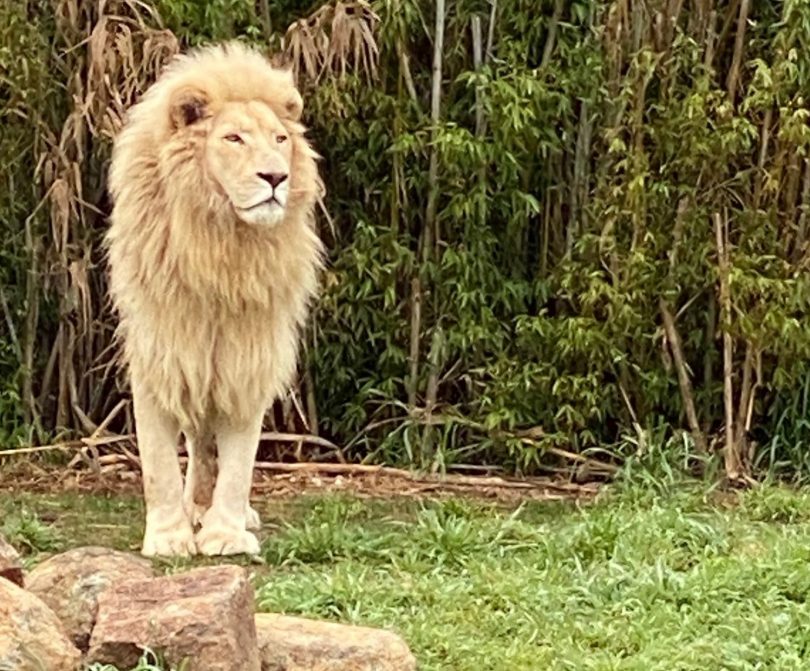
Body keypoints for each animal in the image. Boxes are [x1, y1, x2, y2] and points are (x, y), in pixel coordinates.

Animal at [104, 40, 322, 556]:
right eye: (234, 139)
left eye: (279, 139)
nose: (275, 177)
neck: (223, 247)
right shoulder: (161, 353)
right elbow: (159, 464)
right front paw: (168, 537)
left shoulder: (247, 357)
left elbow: (239, 462)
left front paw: (226, 534)